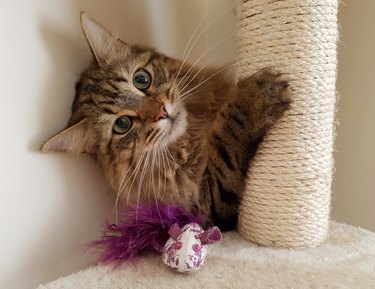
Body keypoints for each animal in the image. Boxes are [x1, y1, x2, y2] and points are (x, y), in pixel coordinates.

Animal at [41, 13, 294, 230]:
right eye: (122, 125)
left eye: (141, 79)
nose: (162, 112)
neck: (193, 132)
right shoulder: (205, 202)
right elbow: (228, 138)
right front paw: (257, 97)